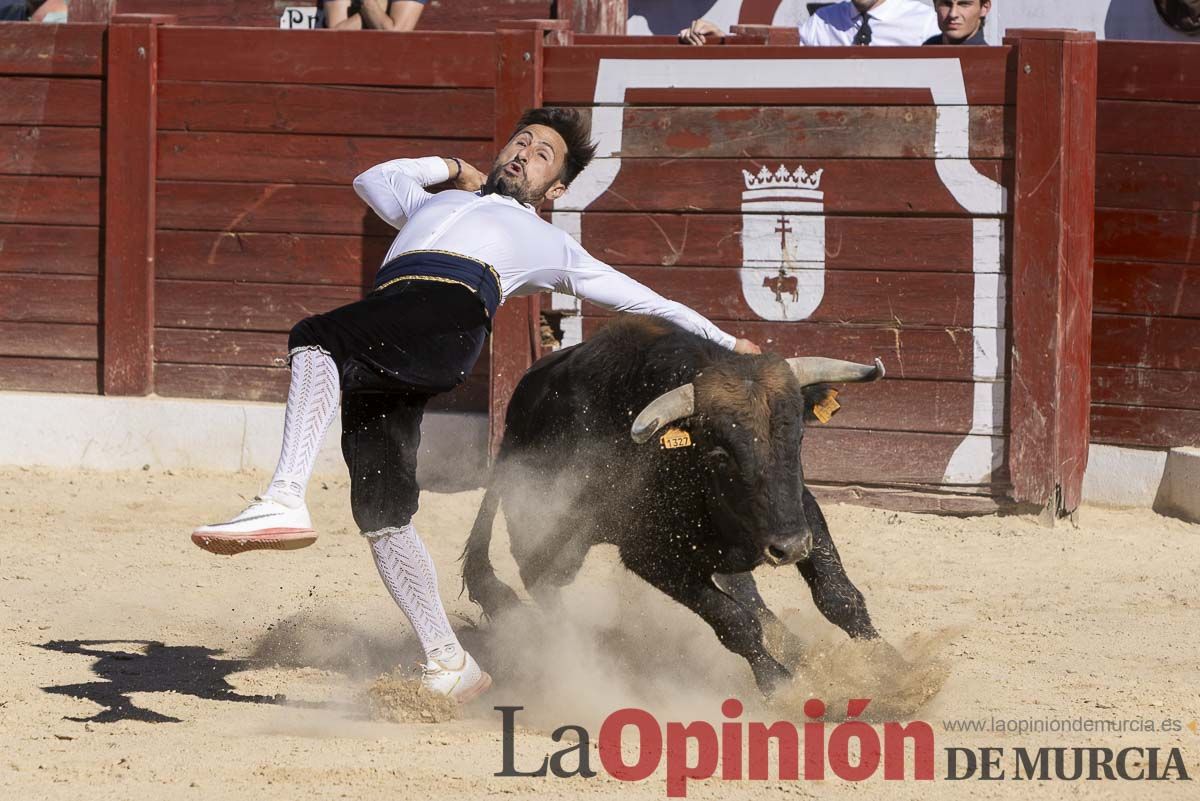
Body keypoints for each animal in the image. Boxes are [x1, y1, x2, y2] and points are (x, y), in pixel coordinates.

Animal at [463, 314, 888, 695]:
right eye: (720, 454)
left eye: (798, 439)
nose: (790, 548)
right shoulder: (651, 556)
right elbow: (734, 621)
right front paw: (780, 685)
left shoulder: (802, 511)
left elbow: (838, 596)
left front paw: (888, 667)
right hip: (548, 537)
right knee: (542, 583)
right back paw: (568, 655)